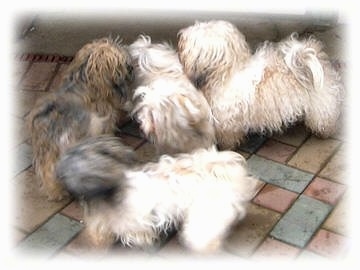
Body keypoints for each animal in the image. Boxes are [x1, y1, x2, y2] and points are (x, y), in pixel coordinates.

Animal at [177, 19, 344, 149]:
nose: (181, 36)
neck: (227, 72)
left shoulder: (227, 119)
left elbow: (229, 135)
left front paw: (227, 146)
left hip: (320, 103)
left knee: (324, 117)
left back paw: (323, 132)